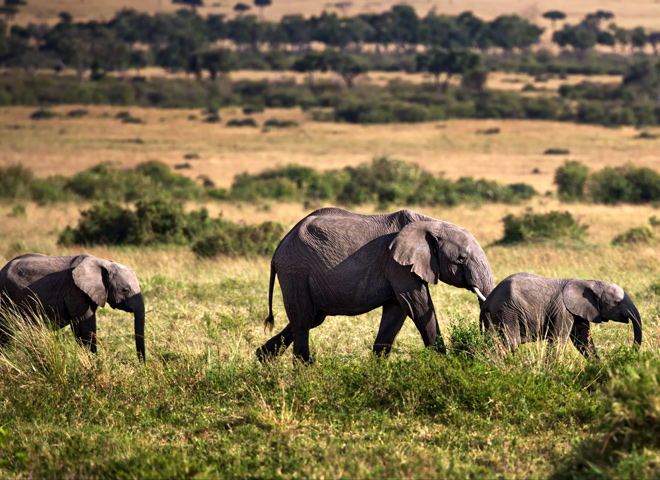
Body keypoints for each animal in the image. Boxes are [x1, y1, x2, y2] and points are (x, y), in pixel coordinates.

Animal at [0, 253, 145, 361]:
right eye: (125, 290)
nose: (141, 367)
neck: (102, 262)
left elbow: (79, 328)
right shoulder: (74, 291)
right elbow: (86, 325)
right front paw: (94, 363)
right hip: (6, 298)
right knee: (6, 330)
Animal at [256, 207, 495, 363]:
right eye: (461, 259)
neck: (431, 223)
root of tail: (278, 248)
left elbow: (397, 312)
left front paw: (377, 371)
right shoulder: (397, 265)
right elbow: (418, 307)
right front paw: (444, 365)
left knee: (310, 318)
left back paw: (263, 359)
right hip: (296, 271)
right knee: (303, 320)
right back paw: (306, 372)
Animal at [479, 272, 642, 359]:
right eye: (616, 302)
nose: (631, 352)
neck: (590, 282)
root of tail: (488, 300)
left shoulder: (577, 312)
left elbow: (583, 341)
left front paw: (599, 367)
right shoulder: (563, 310)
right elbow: (558, 340)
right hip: (507, 311)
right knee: (511, 342)